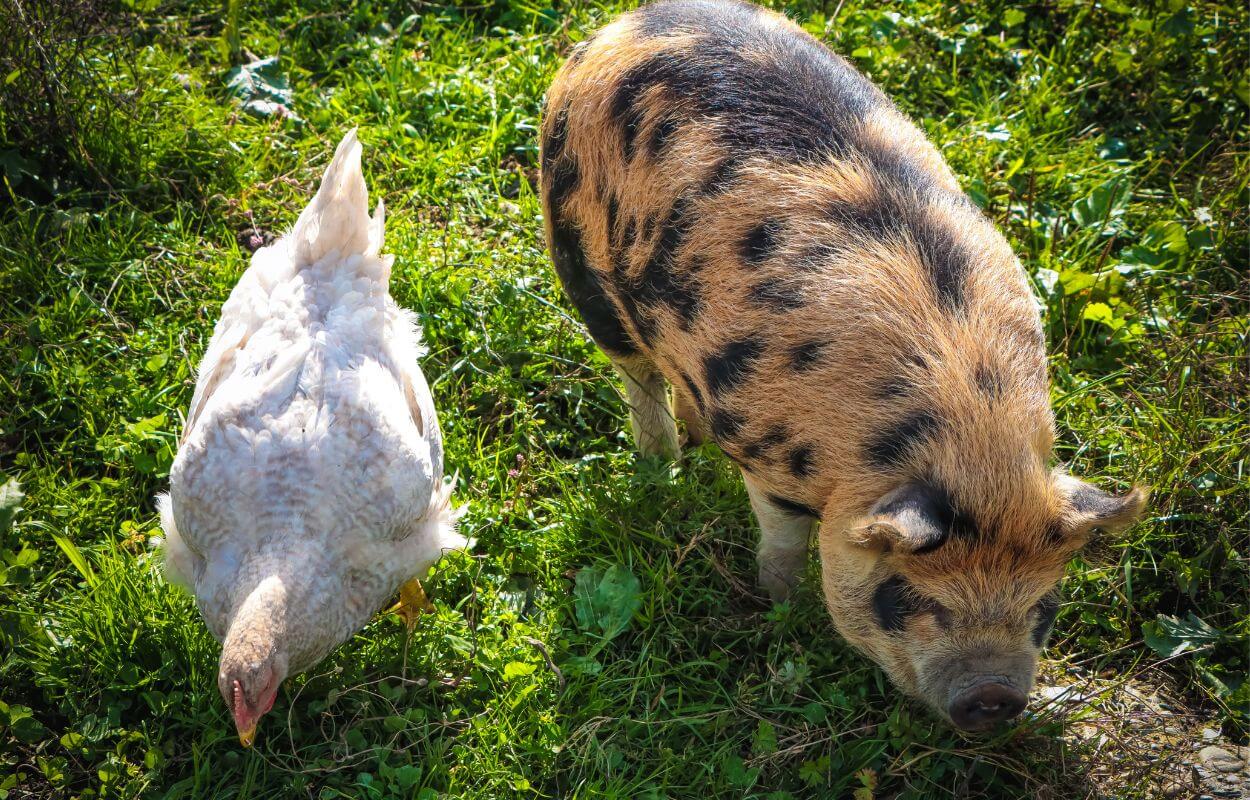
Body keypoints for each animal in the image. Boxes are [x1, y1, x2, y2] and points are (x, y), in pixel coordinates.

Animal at [537, 0, 1145, 730]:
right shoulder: (770, 457)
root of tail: (624, 26)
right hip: (573, 242)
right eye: (914, 599)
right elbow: (784, 539)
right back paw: (663, 473)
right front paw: (777, 605)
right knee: (635, 372)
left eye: (1044, 607)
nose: (995, 697)